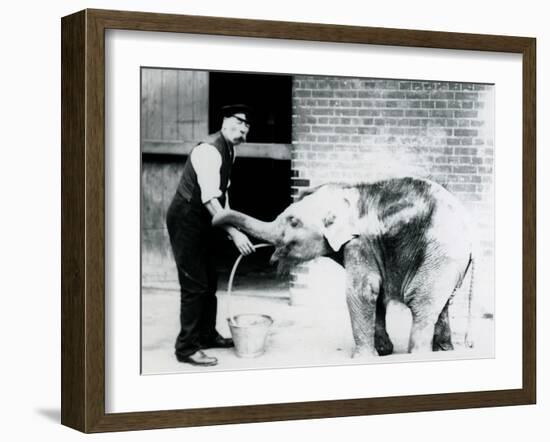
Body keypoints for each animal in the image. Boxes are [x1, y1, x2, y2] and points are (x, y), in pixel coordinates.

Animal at [213, 178, 476, 358]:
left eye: (293, 222)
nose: (247, 248)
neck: (346, 192)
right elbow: (377, 293)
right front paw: (383, 351)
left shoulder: (360, 243)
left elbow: (361, 291)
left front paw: (363, 358)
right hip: (446, 263)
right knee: (443, 304)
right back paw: (444, 351)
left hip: (440, 255)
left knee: (421, 303)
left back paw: (419, 355)